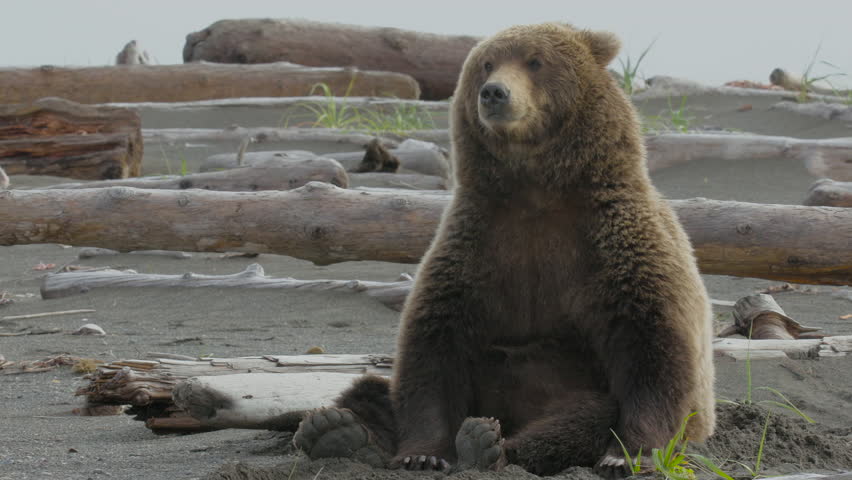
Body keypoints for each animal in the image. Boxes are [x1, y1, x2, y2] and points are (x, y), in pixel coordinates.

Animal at [293, 22, 716, 477]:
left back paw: (489, 443)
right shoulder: (478, 243)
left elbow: (652, 343)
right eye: (486, 63)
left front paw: (626, 454)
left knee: (584, 414)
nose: (494, 92)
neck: (537, 191)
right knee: (369, 389)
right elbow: (434, 344)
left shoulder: (613, 240)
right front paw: (422, 453)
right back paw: (337, 431)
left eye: (535, 60)